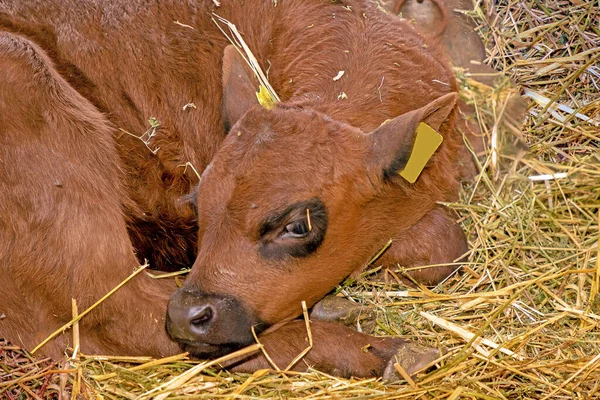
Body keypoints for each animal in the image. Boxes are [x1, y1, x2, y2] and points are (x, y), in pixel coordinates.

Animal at [0, 0, 468, 378]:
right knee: (120, 310)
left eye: (299, 226)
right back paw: (389, 351)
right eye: (197, 205)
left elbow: (444, 243)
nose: (186, 316)